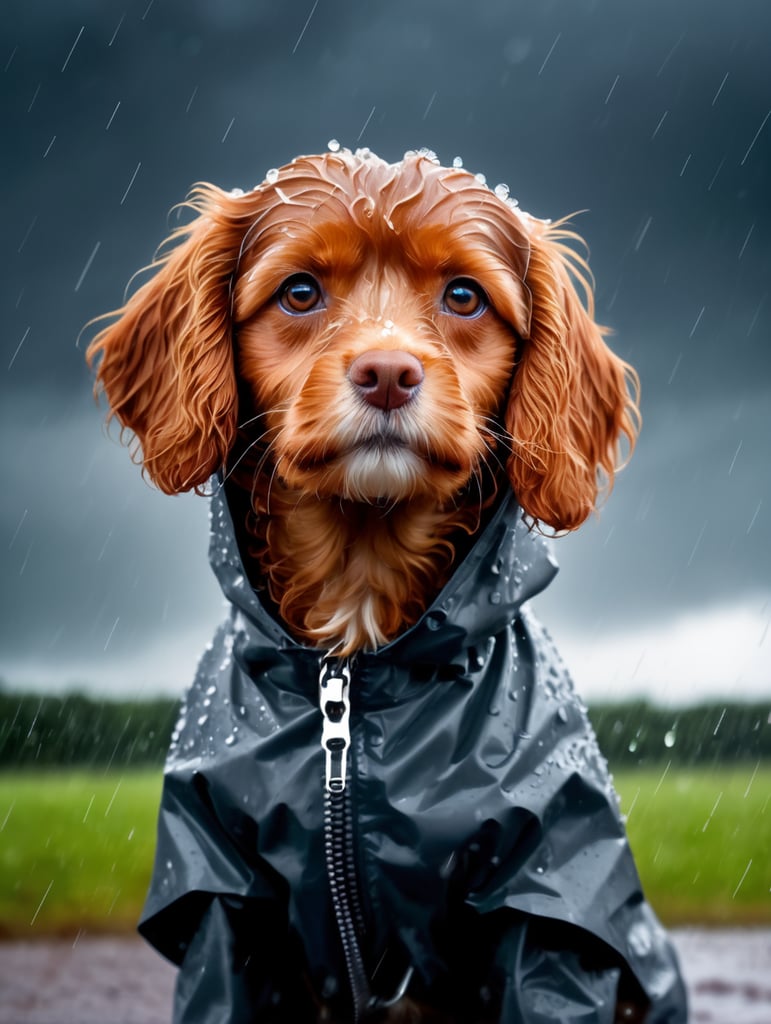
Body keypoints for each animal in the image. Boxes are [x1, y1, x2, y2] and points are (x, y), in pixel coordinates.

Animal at [87, 146, 683, 1024]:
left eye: (463, 295)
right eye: (300, 291)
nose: (388, 372)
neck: (355, 659)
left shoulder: (550, 896)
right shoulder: (220, 896)